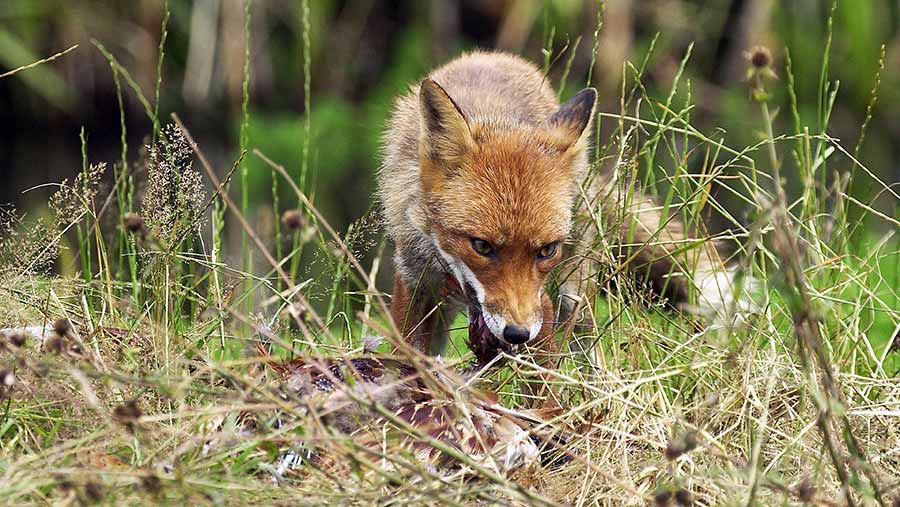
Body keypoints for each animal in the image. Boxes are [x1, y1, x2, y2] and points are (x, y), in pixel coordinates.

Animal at [378, 50, 751, 361]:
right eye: (481, 246)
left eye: (547, 250)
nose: (517, 334)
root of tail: (492, 56)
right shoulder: (413, 281)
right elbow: (408, 359)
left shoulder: (540, 302)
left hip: (574, 292)